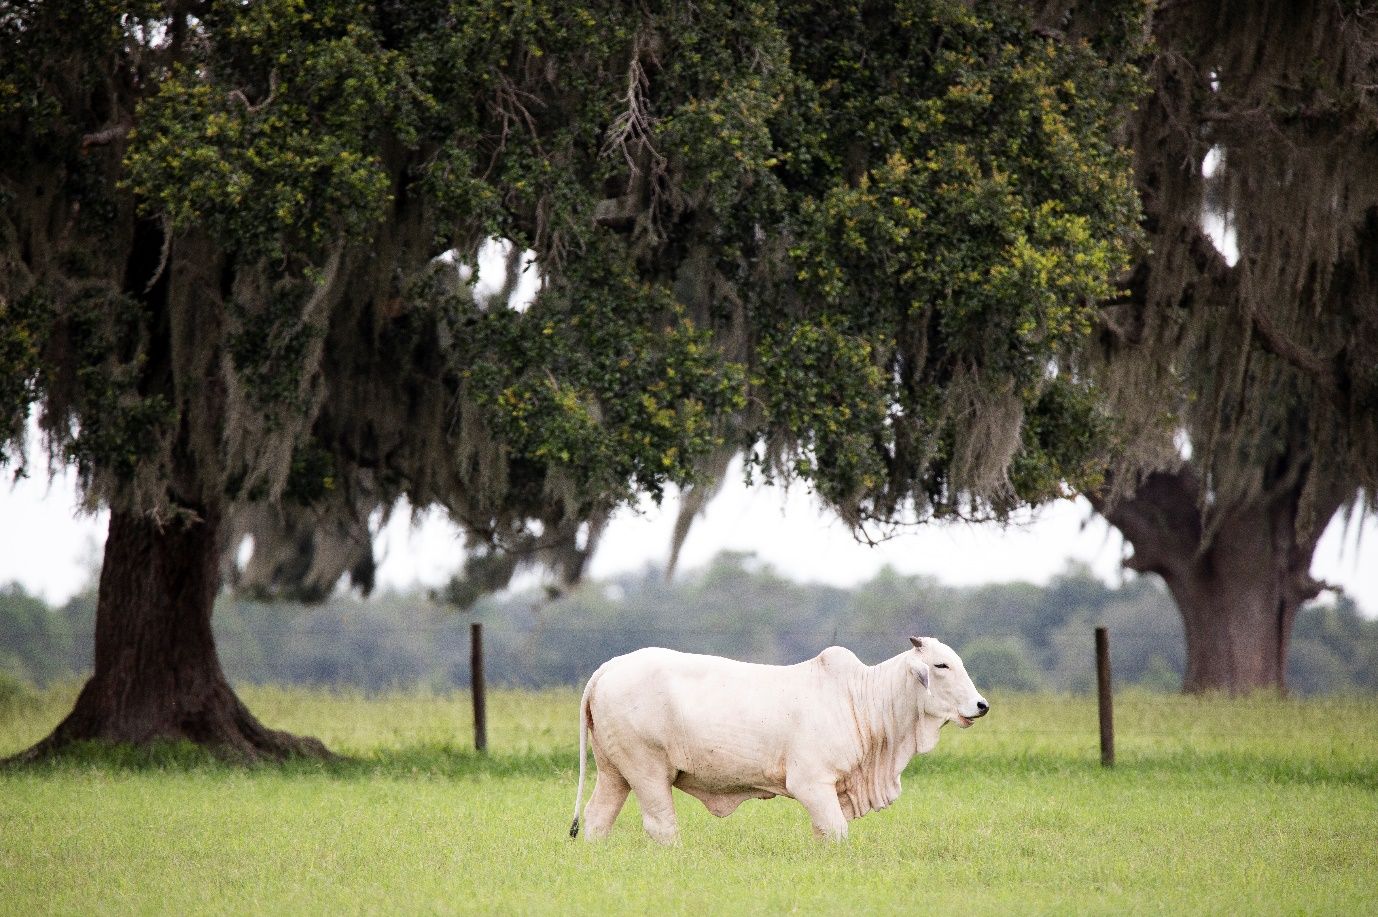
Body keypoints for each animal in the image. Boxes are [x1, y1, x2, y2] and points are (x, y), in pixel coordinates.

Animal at [568, 636, 988, 843]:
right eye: (941, 665)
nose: (981, 705)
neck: (861, 699)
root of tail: (611, 666)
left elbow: (823, 834)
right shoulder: (811, 784)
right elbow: (837, 832)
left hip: (614, 772)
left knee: (597, 819)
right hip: (648, 771)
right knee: (662, 827)